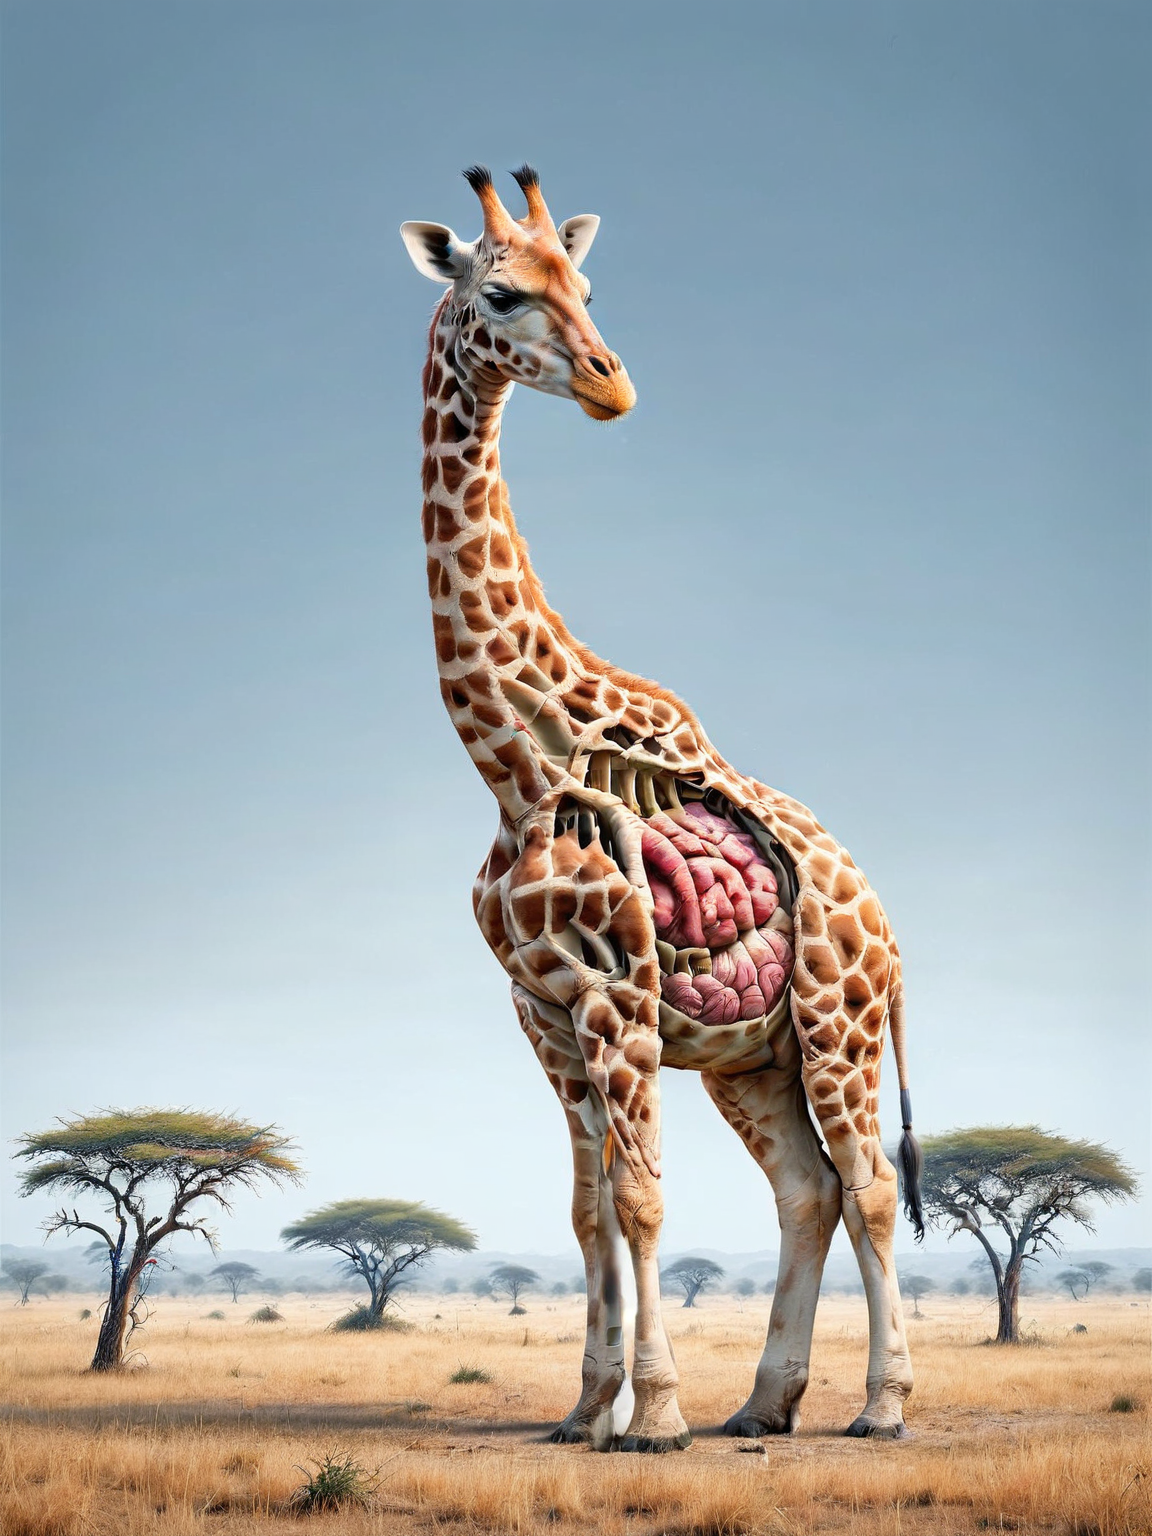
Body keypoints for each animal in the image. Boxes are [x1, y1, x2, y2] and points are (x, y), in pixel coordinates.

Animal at [400, 165, 924, 1452]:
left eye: (586, 287)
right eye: (501, 291)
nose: (611, 383)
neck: (511, 762)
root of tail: (890, 933)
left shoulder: (616, 998)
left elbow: (638, 1200)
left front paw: (654, 1417)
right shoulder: (541, 1012)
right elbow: (588, 1209)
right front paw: (587, 1411)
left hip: (836, 1026)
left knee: (872, 1185)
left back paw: (881, 1408)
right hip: (752, 1057)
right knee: (807, 1187)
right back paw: (767, 1402)